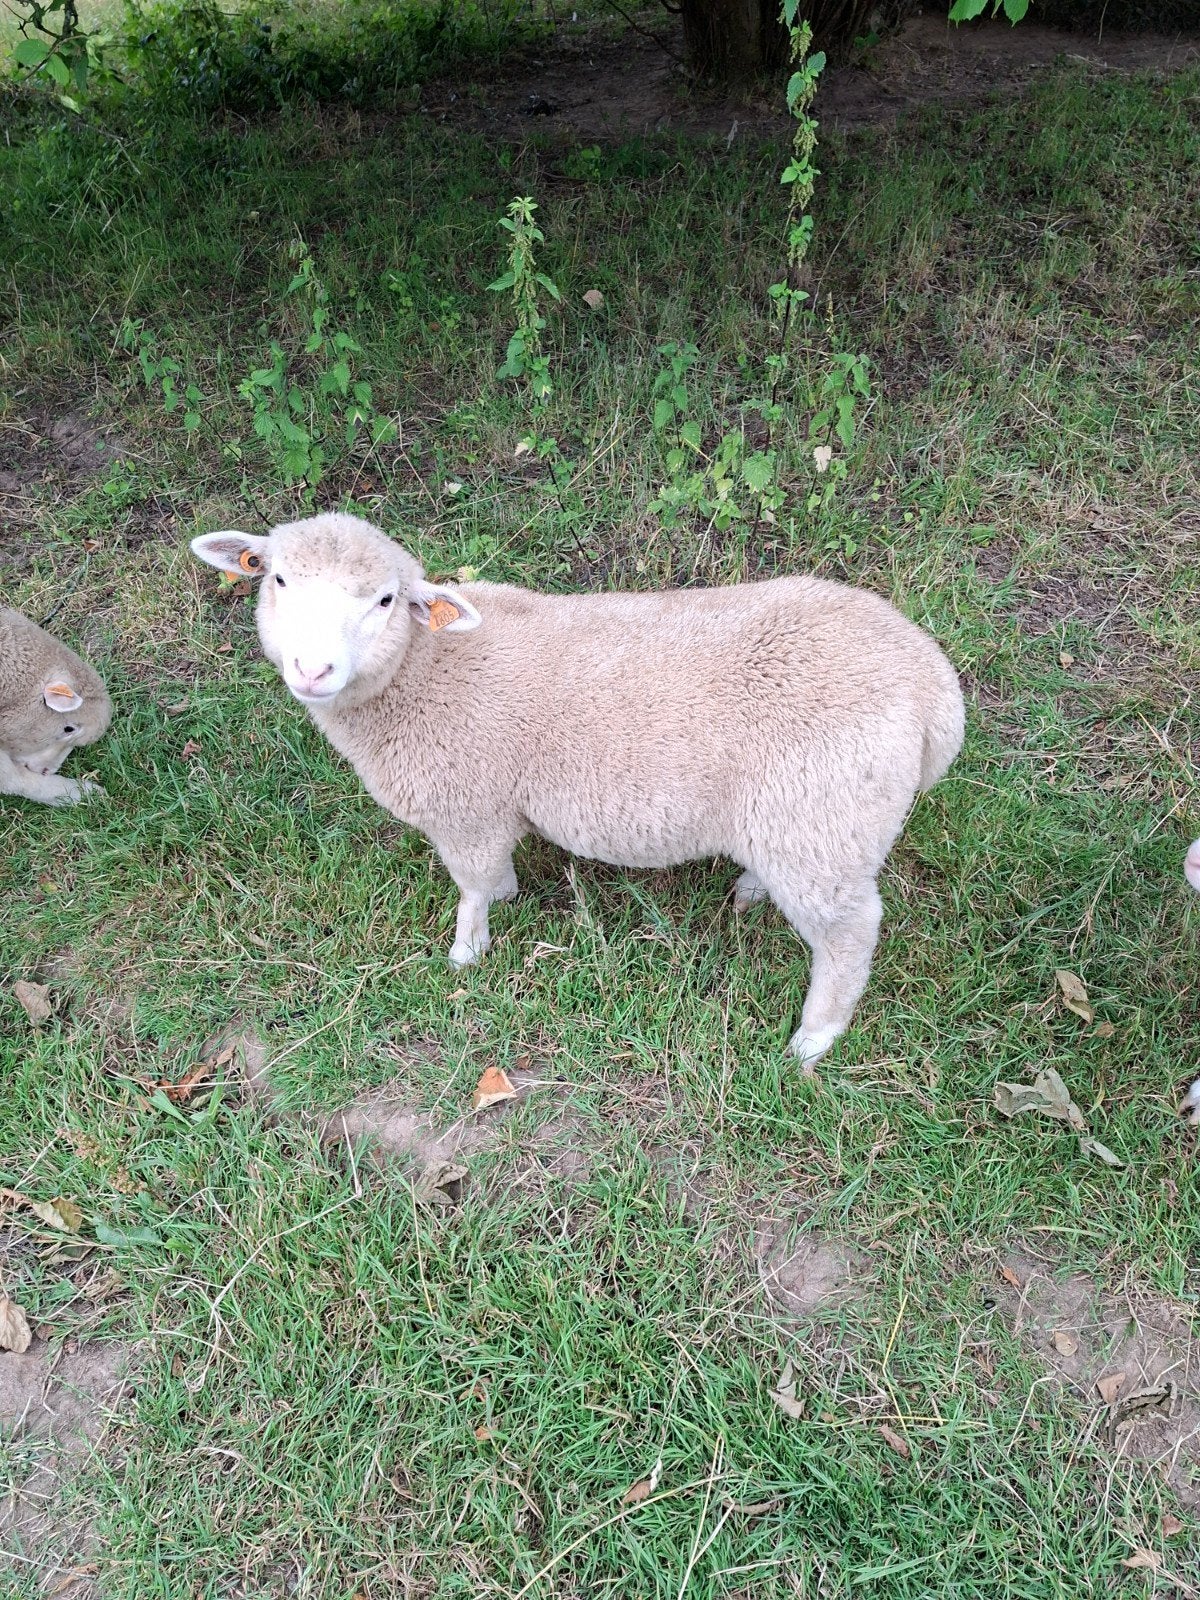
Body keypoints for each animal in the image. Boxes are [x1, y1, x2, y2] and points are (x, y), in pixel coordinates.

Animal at [191, 512, 965, 1065]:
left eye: (384, 600)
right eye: (277, 580)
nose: (312, 670)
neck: (425, 669)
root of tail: (935, 691)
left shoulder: (468, 807)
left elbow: (473, 888)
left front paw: (468, 951)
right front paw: (503, 903)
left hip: (822, 821)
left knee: (850, 935)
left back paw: (814, 1039)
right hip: (803, 825)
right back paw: (751, 891)